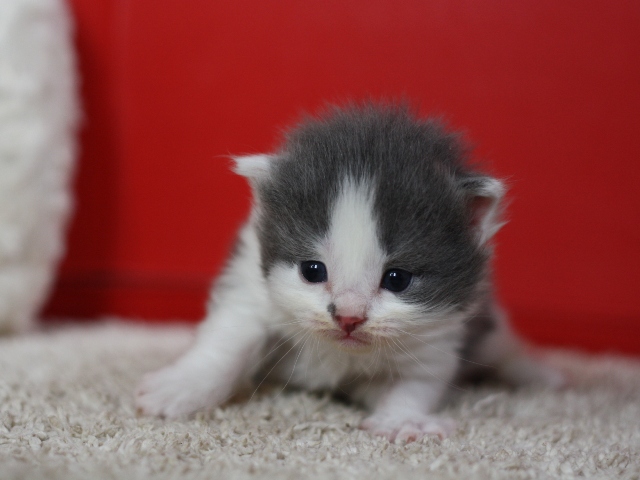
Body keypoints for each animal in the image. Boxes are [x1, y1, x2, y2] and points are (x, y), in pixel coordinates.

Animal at [134, 104, 560, 442]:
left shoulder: (439, 334)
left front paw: (403, 420)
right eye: (312, 270)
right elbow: (228, 341)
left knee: (506, 348)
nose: (349, 317)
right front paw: (180, 388)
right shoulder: (250, 289)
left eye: (397, 279)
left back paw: (543, 375)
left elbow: (416, 383)